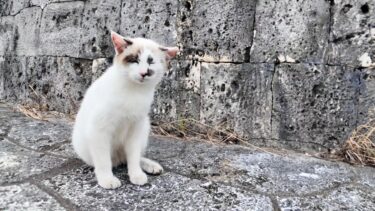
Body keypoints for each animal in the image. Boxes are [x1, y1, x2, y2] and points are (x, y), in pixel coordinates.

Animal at [73, 30, 181, 189]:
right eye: (134, 60)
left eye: (151, 62)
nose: (144, 73)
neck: (134, 91)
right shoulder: (99, 129)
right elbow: (103, 160)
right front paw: (107, 179)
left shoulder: (136, 128)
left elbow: (134, 156)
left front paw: (136, 174)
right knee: (111, 160)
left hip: (144, 127)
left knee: (130, 157)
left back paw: (149, 165)